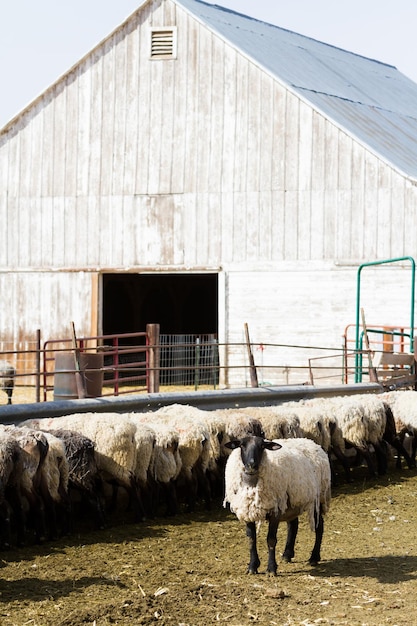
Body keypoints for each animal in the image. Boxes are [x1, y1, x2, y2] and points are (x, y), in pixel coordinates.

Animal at [223, 434, 330, 572]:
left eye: (262, 446)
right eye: (242, 445)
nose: (251, 465)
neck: (252, 484)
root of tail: (311, 442)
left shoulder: (275, 511)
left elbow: (271, 540)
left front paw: (271, 568)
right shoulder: (247, 510)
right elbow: (251, 539)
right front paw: (252, 566)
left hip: (318, 498)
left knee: (319, 526)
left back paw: (314, 557)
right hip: (292, 501)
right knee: (293, 525)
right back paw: (287, 554)